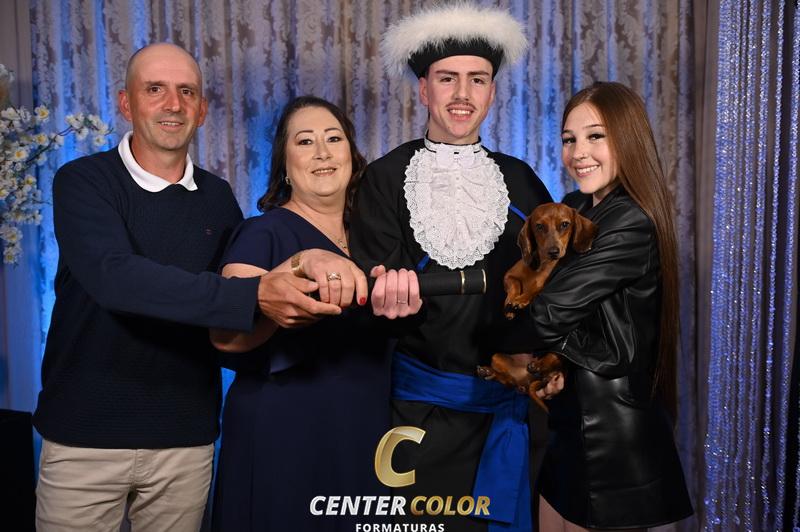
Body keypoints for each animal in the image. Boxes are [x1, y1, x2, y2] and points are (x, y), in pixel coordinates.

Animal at [477, 202, 598, 411]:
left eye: (565, 224)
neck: (540, 266)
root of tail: (526, 381)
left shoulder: (543, 286)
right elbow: (514, 286)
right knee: (508, 381)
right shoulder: (510, 276)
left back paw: (540, 365)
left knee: (555, 356)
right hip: (497, 358)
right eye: (539, 226)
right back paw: (489, 372)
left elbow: (534, 291)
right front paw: (510, 305)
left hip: (562, 345)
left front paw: (520, 300)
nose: (554, 251)